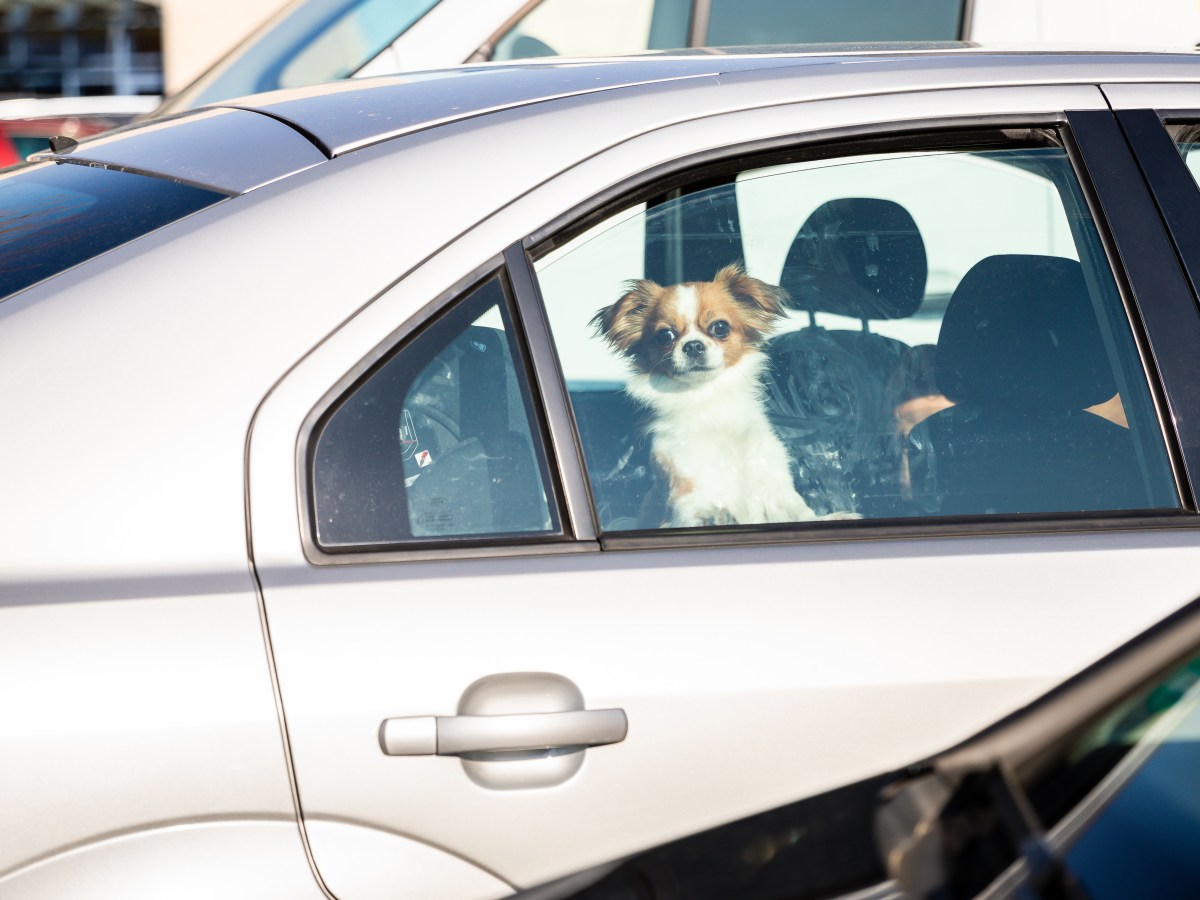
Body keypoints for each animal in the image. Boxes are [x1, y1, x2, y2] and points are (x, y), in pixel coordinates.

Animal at [588, 260, 854, 528]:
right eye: (665, 335)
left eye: (720, 327)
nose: (693, 346)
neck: (709, 398)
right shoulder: (684, 483)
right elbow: (693, 509)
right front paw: (713, 516)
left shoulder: (770, 479)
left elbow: (798, 510)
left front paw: (830, 517)